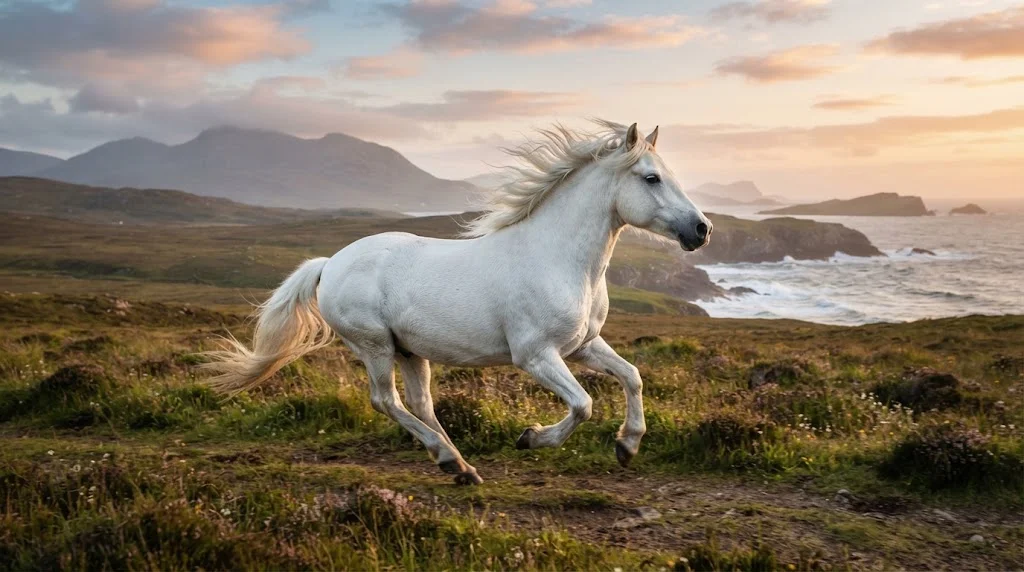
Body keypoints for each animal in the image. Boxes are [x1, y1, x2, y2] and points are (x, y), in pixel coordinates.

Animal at [201, 121, 712, 485]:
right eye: (651, 178)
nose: (702, 230)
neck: (558, 258)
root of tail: (330, 263)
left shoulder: (583, 345)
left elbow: (633, 376)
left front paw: (628, 445)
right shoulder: (536, 356)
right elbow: (584, 405)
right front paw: (531, 438)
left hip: (410, 351)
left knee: (421, 403)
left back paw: (460, 466)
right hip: (375, 347)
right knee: (386, 401)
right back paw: (450, 459)